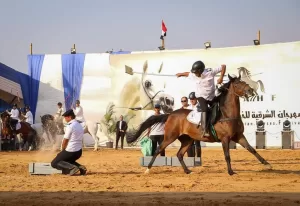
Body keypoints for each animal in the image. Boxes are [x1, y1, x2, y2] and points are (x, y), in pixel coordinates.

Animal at [125, 74, 274, 175]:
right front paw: (231, 172)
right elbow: (227, 155)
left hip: (188, 140)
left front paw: (267, 165)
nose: (251, 91)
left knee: (179, 154)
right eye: (237, 84)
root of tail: (171, 114)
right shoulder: (225, 139)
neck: (227, 114)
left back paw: (187, 171)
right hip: (170, 137)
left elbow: (252, 149)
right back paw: (148, 170)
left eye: (243, 82)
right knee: (158, 150)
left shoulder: (238, 136)